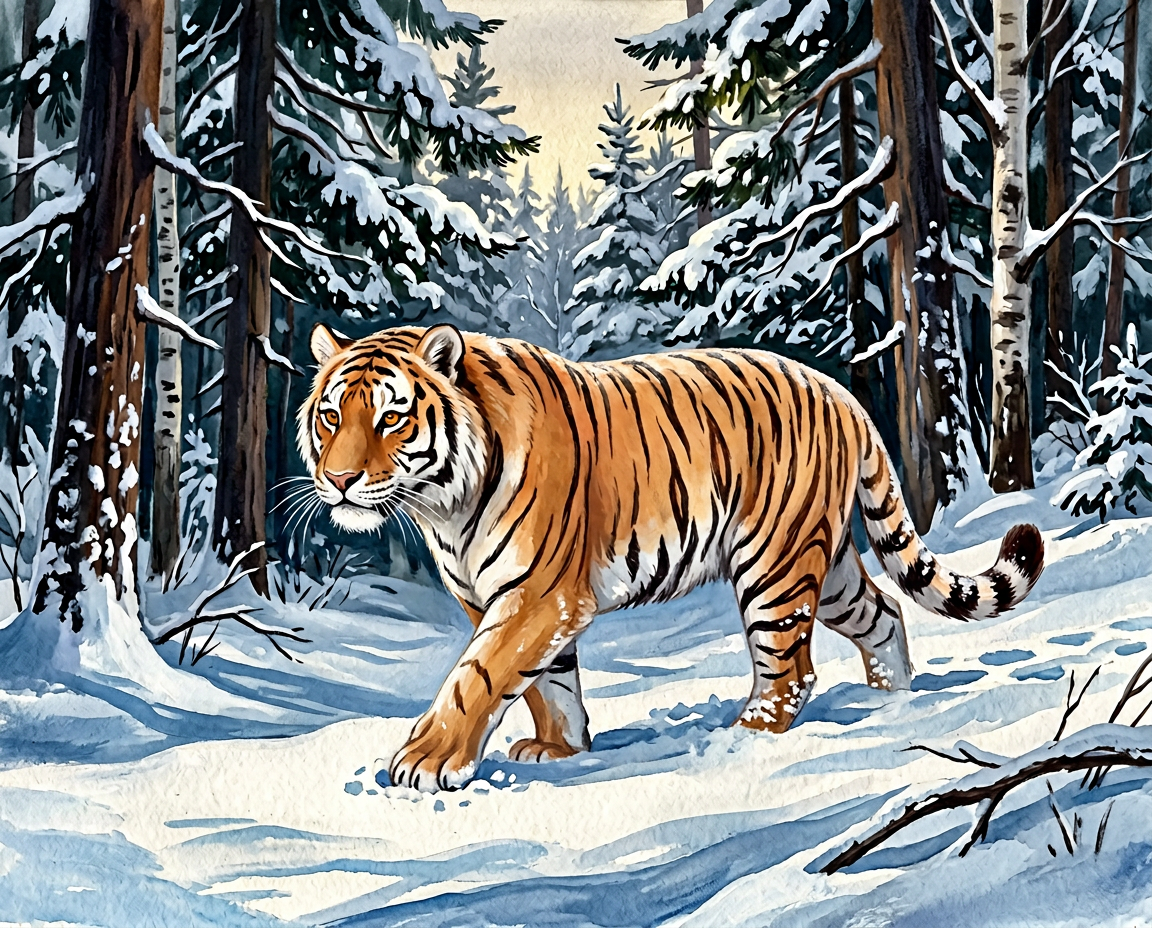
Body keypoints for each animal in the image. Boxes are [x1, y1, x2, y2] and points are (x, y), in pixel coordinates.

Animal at [299, 323, 1045, 792]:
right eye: (331, 416)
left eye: (391, 417)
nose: (338, 479)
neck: (443, 507)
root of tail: (843, 394)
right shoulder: (501, 598)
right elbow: (546, 682)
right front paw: (561, 750)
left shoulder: (537, 593)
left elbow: (479, 674)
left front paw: (426, 761)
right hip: (828, 566)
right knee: (884, 612)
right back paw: (893, 701)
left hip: (774, 566)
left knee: (791, 669)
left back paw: (746, 737)